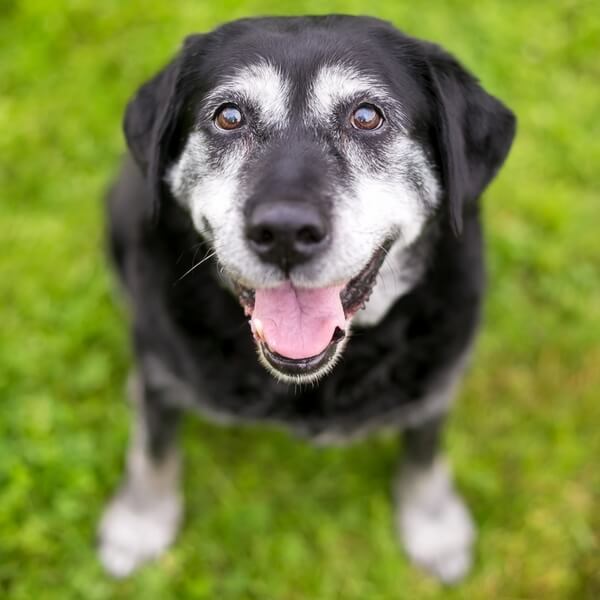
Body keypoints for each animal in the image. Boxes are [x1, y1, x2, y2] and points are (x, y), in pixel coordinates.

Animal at [98, 16, 516, 584]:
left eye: (367, 116)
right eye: (228, 116)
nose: (285, 232)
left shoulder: (437, 378)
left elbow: (424, 451)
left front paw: (433, 526)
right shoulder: (163, 373)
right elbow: (155, 448)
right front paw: (139, 523)